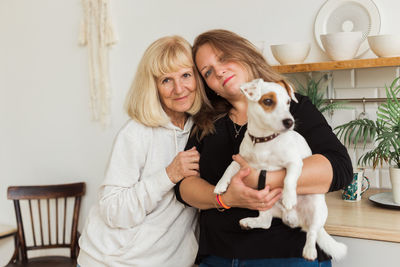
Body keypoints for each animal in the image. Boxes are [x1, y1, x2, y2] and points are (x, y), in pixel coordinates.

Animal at [214, 79, 348, 262]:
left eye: (288, 102)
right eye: (268, 101)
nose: (289, 122)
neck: (264, 140)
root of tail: (296, 220)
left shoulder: (294, 163)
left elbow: (288, 179)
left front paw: (289, 197)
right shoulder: (241, 160)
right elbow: (228, 168)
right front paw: (220, 185)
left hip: (317, 209)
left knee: (312, 232)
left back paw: (309, 250)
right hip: (263, 204)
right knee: (265, 223)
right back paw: (249, 222)